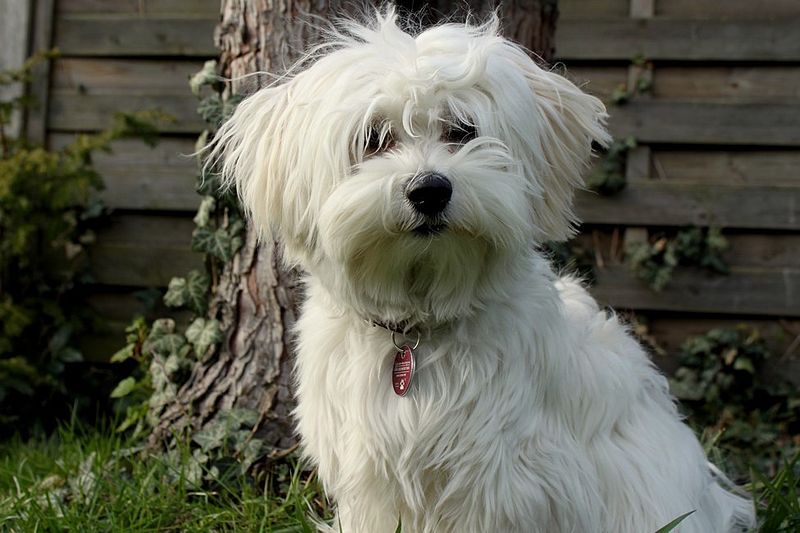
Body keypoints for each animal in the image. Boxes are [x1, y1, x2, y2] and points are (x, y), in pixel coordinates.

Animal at [211, 8, 752, 532]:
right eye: (374, 138)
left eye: (463, 131)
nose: (429, 190)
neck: (418, 328)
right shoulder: (372, 479)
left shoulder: (501, 482)